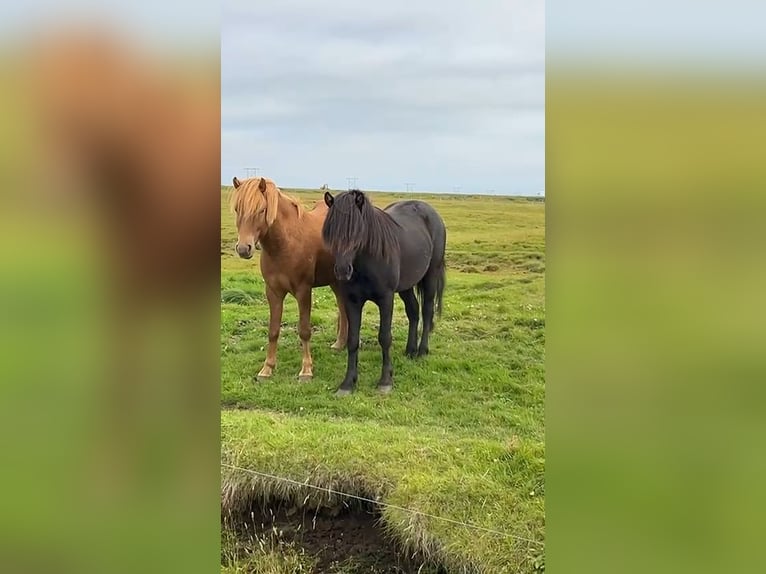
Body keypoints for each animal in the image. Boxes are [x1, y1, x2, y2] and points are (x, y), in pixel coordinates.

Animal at [231, 176, 348, 381]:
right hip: (335, 280)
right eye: (238, 209)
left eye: (262, 210)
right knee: (342, 306)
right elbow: (273, 331)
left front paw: (306, 370)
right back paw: (340, 343)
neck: (285, 244)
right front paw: (267, 368)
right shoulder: (273, 292)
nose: (244, 249)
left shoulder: (303, 291)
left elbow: (304, 330)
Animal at [321, 189, 446, 396]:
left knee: (427, 311)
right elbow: (352, 340)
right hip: (405, 286)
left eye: (357, 231)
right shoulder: (352, 301)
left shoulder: (386, 299)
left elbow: (385, 337)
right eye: (330, 231)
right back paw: (410, 350)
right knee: (413, 311)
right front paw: (348, 383)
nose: (342, 271)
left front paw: (385, 381)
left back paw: (422, 351)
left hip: (431, 276)